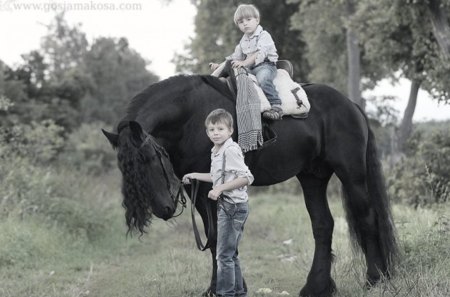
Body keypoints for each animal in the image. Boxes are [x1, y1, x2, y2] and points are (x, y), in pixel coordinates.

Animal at [102, 75, 398, 296]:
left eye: (149, 158)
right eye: (125, 169)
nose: (163, 209)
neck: (191, 116)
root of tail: (351, 105)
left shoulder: (212, 188)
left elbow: (217, 236)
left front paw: (219, 288)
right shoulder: (198, 187)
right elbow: (215, 237)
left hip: (352, 174)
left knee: (367, 219)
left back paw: (375, 279)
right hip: (312, 177)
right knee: (323, 225)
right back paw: (317, 287)